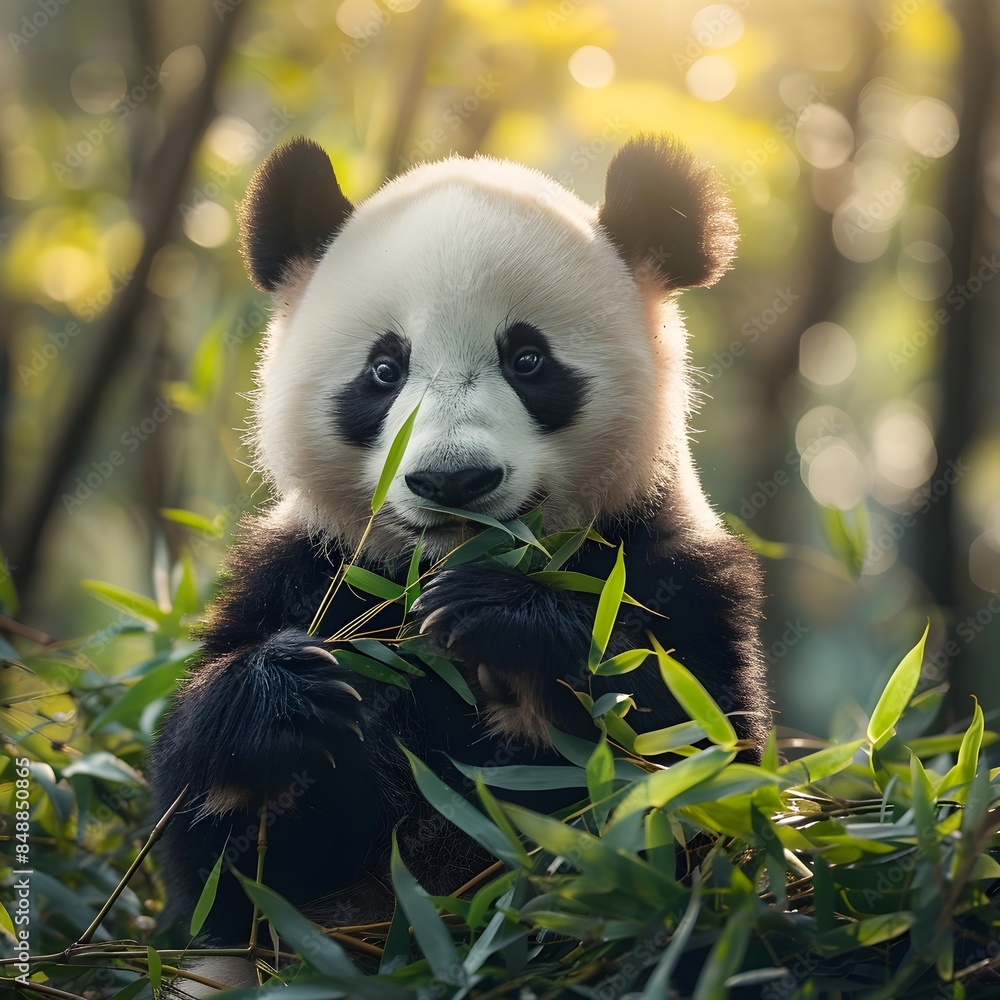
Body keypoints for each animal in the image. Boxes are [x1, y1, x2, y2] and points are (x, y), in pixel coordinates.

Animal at [149, 132, 769, 987]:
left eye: (529, 359)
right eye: (384, 369)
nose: (453, 480)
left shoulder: (668, 568)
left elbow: (692, 776)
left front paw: (505, 623)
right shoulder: (306, 575)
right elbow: (222, 885)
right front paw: (283, 701)